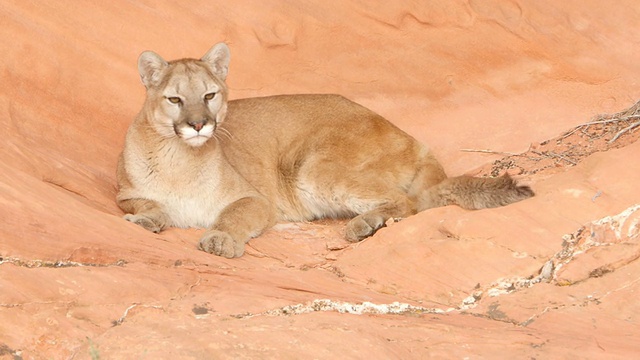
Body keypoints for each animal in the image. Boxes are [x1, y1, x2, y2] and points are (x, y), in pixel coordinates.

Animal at [116, 43, 536, 258]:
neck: (179, 159)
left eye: (209, 95)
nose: (199, 124)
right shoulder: (124, 194)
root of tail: (413, 138)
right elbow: (149, 204)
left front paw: (220, 240)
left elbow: (232, 216)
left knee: (410, 201)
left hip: (313, 169)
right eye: (175, 99)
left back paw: (363, 225)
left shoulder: (255, 199)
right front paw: (148, 220)